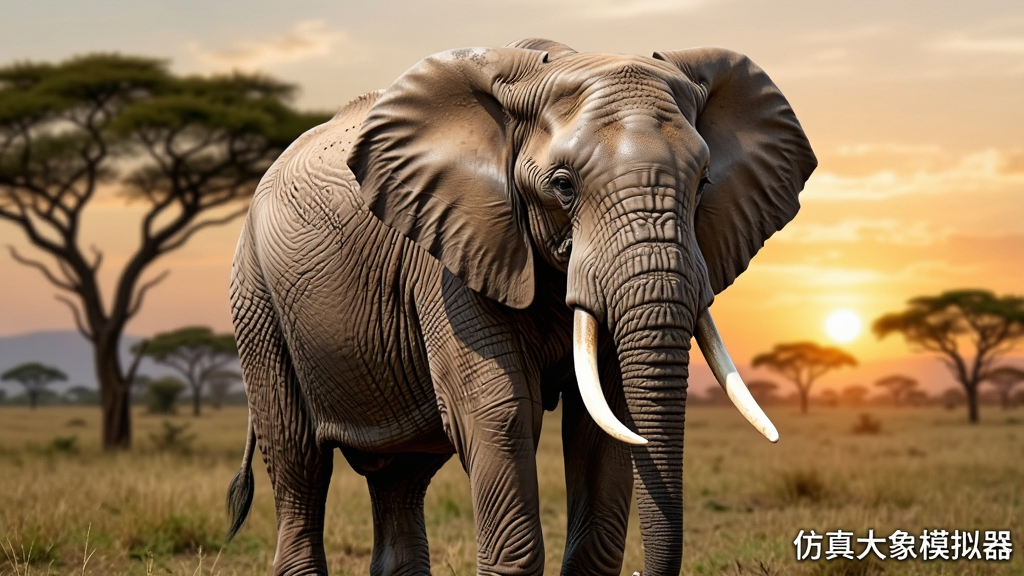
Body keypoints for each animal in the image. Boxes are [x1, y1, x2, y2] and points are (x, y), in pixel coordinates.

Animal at [226, 38, 815, 576]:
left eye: (704, 182)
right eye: (564, 186)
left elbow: (607, 421)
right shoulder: (452, 251)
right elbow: (500, 413)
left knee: (401, 474)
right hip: (256, 298)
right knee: (297, 458)